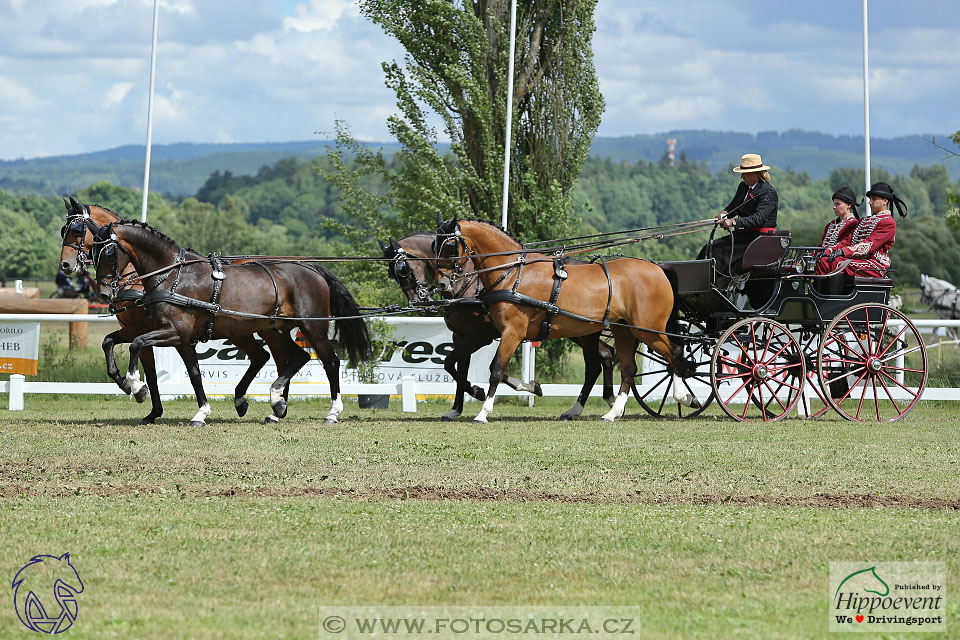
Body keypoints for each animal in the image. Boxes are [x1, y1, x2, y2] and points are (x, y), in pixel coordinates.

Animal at [58, 198, 296, 422]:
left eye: (77, 230)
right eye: (64, 230)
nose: (65, 265)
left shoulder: (150, 329)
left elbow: (150, 370)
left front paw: (140, 391)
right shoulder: (151, 331)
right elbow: (109, 342)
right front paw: (131, 389)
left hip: (265, 330)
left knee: (283, 359)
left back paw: (276, 407)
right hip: (240, 331)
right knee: (265, 357)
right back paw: (263, 405)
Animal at [82, 218, 372, 428]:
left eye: (109, 252)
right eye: (91, 252)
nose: (104, 294)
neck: (173, 275)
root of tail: (312, 268)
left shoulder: (174, 332)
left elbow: (136, 345)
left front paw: (135, 385)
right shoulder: (180, 338)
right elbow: (192, 372)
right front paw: (200, 413)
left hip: (313, 327)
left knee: (329, 361)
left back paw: (330, 412)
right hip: (272, 330)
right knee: (290, 358)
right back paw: (271, 404)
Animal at [378, 234, 620, 420]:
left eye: (402, 268)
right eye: (391, 272)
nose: (417, 299)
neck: (468, 282)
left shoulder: (479, 336)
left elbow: (457, 365)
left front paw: (479, 392)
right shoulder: (461, 336)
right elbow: (457, 368)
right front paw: (457, 408)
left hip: (582, 331)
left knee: (596, 363)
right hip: (580, 331)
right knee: (605, 356)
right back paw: (605, 400)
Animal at [436, 218, 696, 422]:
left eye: (449, 246)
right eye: (434, 245)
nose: (442, 283)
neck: (515, 273)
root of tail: (657, 268)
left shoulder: (510, 332)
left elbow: (496, 370)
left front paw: (483, 411)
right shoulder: (480, 335)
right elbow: (460, 364)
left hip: (648, 330)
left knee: (673, 354)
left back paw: (682, 396)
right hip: (623, 331)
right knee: (627, 368)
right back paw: (612, 412)